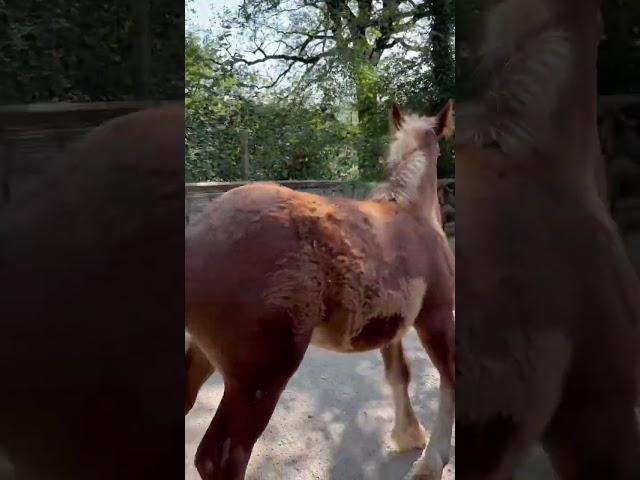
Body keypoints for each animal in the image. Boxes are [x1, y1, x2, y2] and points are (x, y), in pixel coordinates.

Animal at [184, 102, 456, 480]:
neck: (412, 212)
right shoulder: (436, 316)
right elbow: (449, 377)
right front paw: (431, 461)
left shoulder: (392, 325)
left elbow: (398, 373)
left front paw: (408, 435)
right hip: (259, 378)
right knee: (220, 457)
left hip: (204, 353)